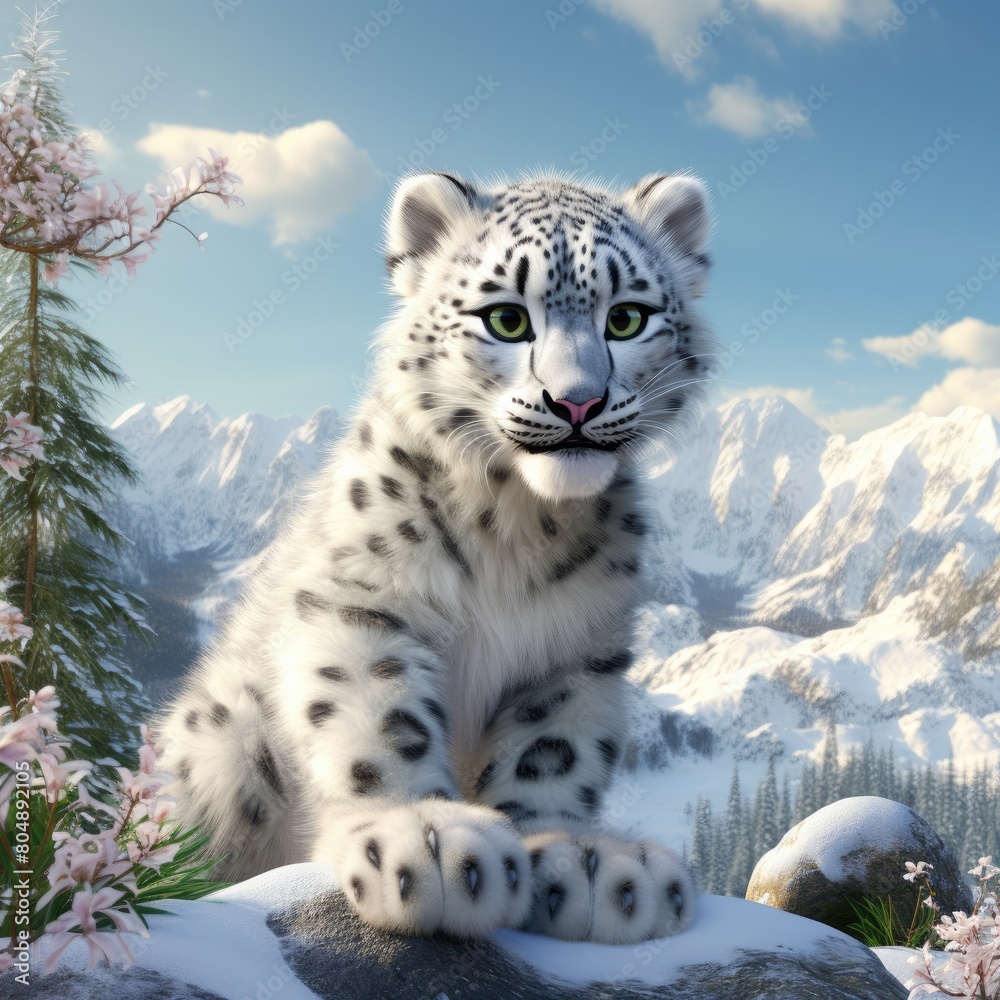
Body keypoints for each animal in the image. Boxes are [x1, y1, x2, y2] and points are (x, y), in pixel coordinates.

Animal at [158, 169, 715, 944]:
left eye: (627, 318)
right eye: (506, 319)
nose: (577, 403)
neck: (521, 528)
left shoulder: (578, 647)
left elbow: (554, 747)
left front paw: (578, 859)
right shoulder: (366, 597)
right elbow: (381, 714)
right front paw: (433, 844)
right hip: (221, 737)